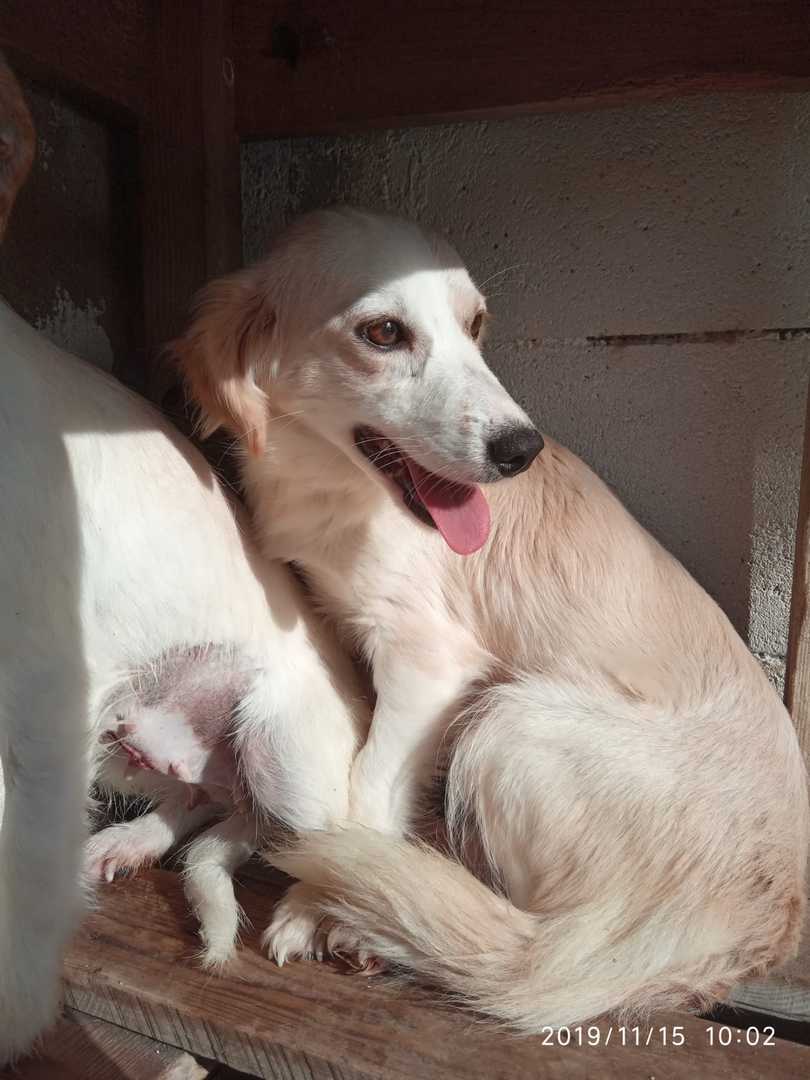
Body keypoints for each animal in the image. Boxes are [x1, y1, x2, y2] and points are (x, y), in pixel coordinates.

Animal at [0, 69, 367, 1065]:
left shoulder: (42, 686)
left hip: (277, 741)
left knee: (318, 840)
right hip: (133, 736)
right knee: (207, 804)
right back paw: (128, 846)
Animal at [174, 205, 809, 1031]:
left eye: (475, 325)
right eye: (384, 332)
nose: (521, 450)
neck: (335, 493)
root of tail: (761, 919)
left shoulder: (428, 662)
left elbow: (364, 792)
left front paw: (318, 900)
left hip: (512, 719)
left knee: (524, 924)